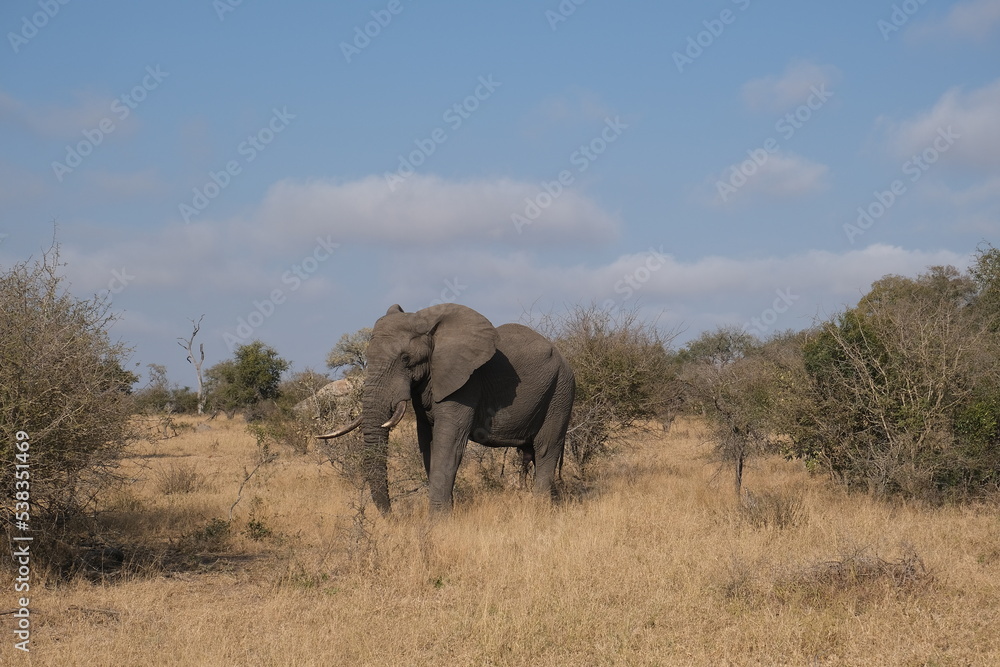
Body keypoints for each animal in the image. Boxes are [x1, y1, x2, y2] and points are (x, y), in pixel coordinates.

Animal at [316, 304, 576, 516]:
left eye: (406, 359)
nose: (393, 517)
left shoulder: (466, 384)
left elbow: (448, 444)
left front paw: (437, 523)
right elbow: (427, 443)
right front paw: (446, 515)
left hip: (561, 391)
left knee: (545, 448)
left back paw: (540, 509)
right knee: (531, 452)